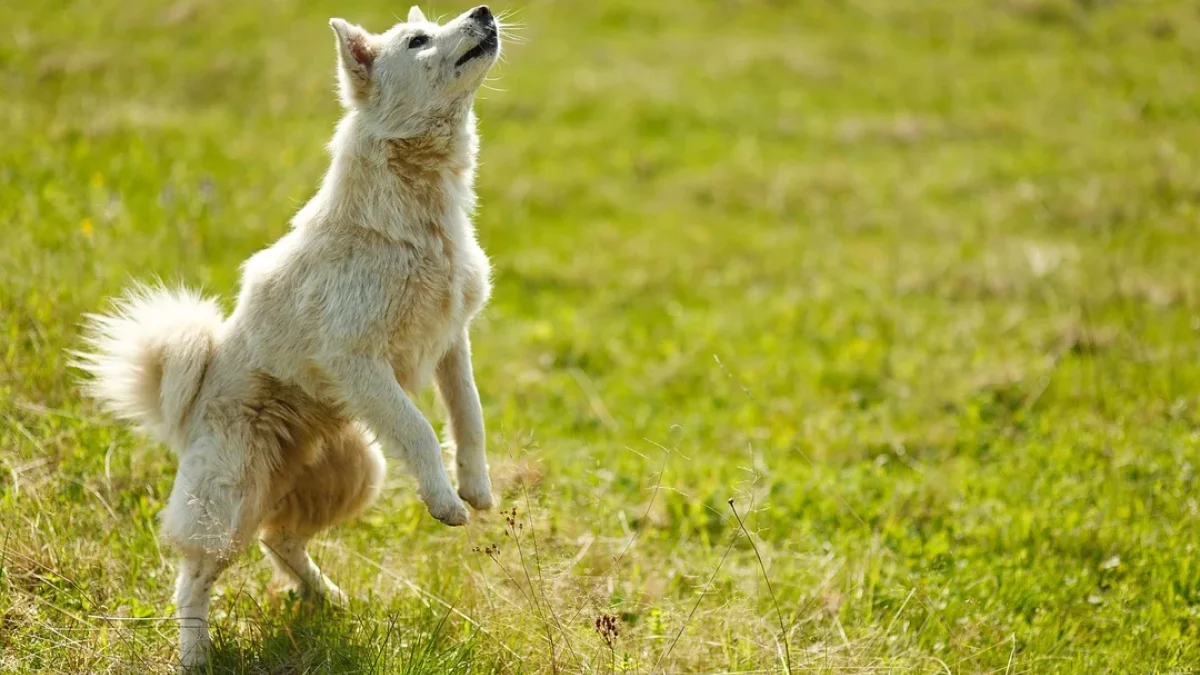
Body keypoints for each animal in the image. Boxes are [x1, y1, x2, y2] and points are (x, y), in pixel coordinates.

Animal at [75, 5, 506, 667]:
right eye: (418, 39)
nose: (483, 11)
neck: (416, 217)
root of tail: (184, 410)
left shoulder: (451, 341)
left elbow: (469, 418)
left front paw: (476, 490)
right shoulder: (356, 357)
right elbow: (419, 429)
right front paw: (444, 502)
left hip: (355, 473)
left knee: (280, 540)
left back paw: (326, 597)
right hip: (228, 505)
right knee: (192, 579)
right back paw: (196, 655)